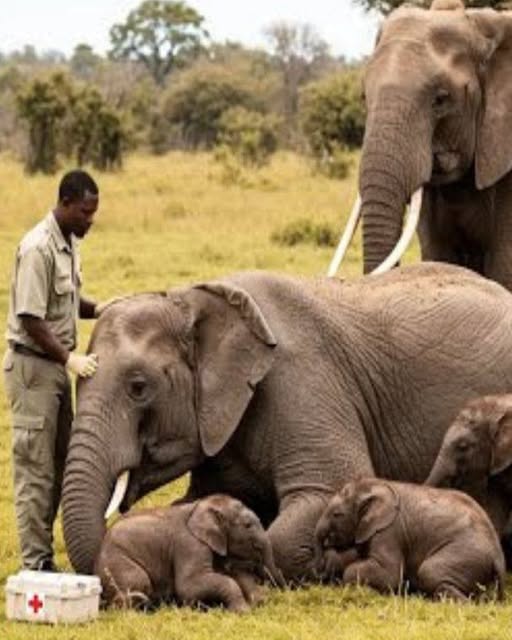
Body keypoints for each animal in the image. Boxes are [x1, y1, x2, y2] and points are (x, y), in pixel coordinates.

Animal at [95, 494, 283, 611]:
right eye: (247, 525)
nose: (279, 595)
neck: (202, 506)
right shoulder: (190, 545)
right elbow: (190, 585)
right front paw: (243, 611)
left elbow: (236, 575)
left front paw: (260, 602)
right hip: (117, 562)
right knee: (139, 581)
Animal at [314, 478, 505, 601]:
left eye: (336, 514)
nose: (321, 571)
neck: (374, 485)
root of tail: (498, 558)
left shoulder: (389, 531)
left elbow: (389, 574)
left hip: (466, 553)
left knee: (429, 571)